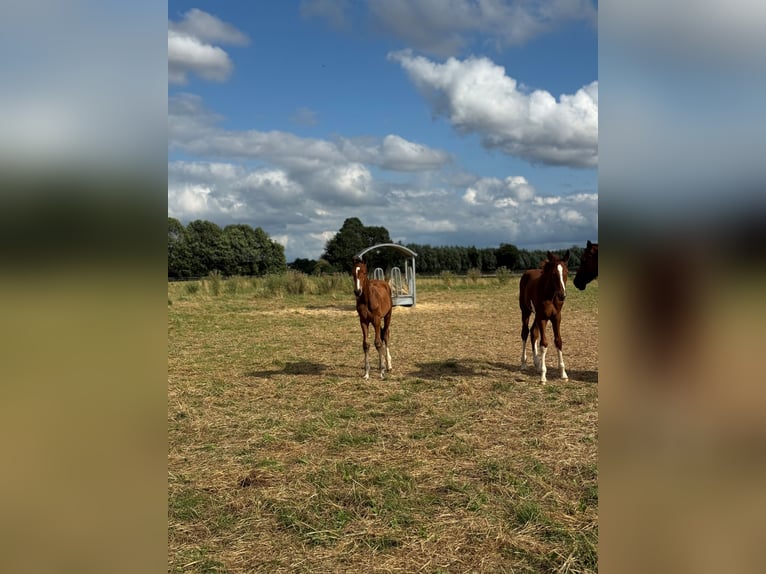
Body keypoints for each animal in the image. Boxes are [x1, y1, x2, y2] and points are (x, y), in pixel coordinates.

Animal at [520, 252, 568, 382]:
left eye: (566, 272)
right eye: (553, 274)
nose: (562, 295)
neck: (550, 295)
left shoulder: (556, 317)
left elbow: (558, 341)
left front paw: (563, 373)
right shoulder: (543, 318)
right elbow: (544, 343)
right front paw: (543, 376)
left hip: (537, 316)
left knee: (533, 332)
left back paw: (537, 363)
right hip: (526, 311)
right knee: (525, 332)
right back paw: (524, 363)